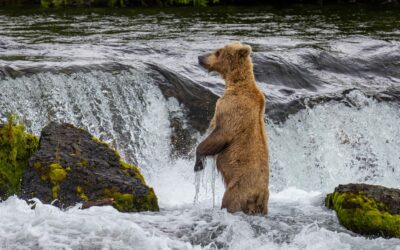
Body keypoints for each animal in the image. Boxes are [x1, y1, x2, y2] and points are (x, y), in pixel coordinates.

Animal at [194, 41, 268, 215]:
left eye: (217, 52)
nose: (200, 57)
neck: (236, 84)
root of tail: (259, 196)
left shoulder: (231, 109)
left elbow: (220, 134)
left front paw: (198, 160)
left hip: (237, 190)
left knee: (229, 202)